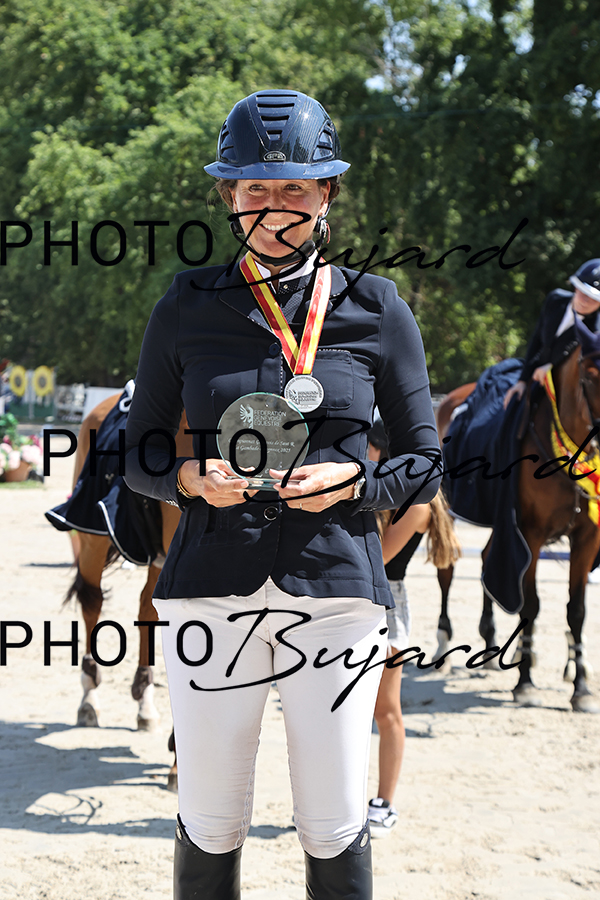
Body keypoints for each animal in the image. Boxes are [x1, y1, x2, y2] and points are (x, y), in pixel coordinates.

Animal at [434, 352, 600, 712]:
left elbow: (577, 610)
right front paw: (524, 684)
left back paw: (491, 642)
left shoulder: (586, 539)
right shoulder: (530, 534)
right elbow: (530, 605)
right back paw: (443, 644)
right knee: (447, 572)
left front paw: (580, 687)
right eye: (591, 378)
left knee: (486, 560)